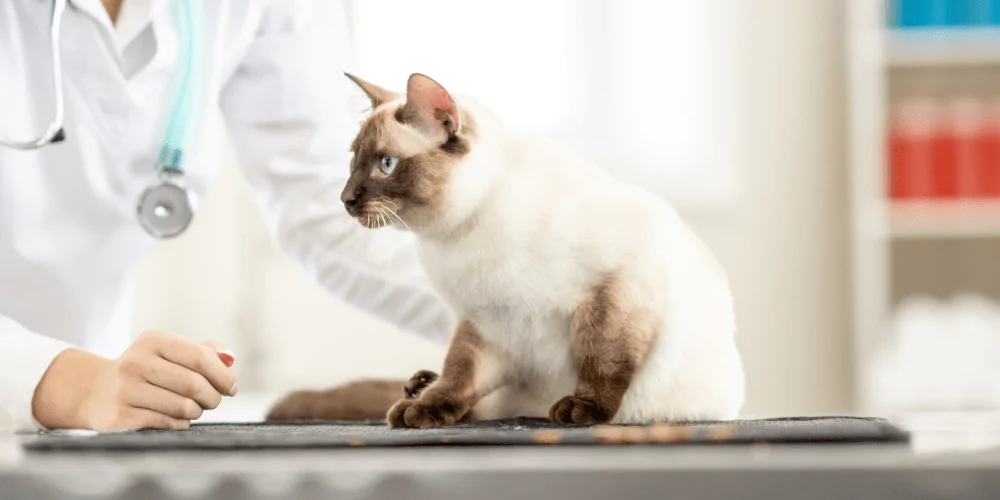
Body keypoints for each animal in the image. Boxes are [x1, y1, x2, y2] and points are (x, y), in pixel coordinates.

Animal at [266, 72, 744, 428]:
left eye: (385, 164)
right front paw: (423, 409)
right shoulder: (488, 322)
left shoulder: (613, 289)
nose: (345, 198)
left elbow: (602, 359)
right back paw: (417, 387)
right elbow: (459, 372)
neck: (456, 237)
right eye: (352, 163)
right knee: (467, 395)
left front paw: (584, 410)